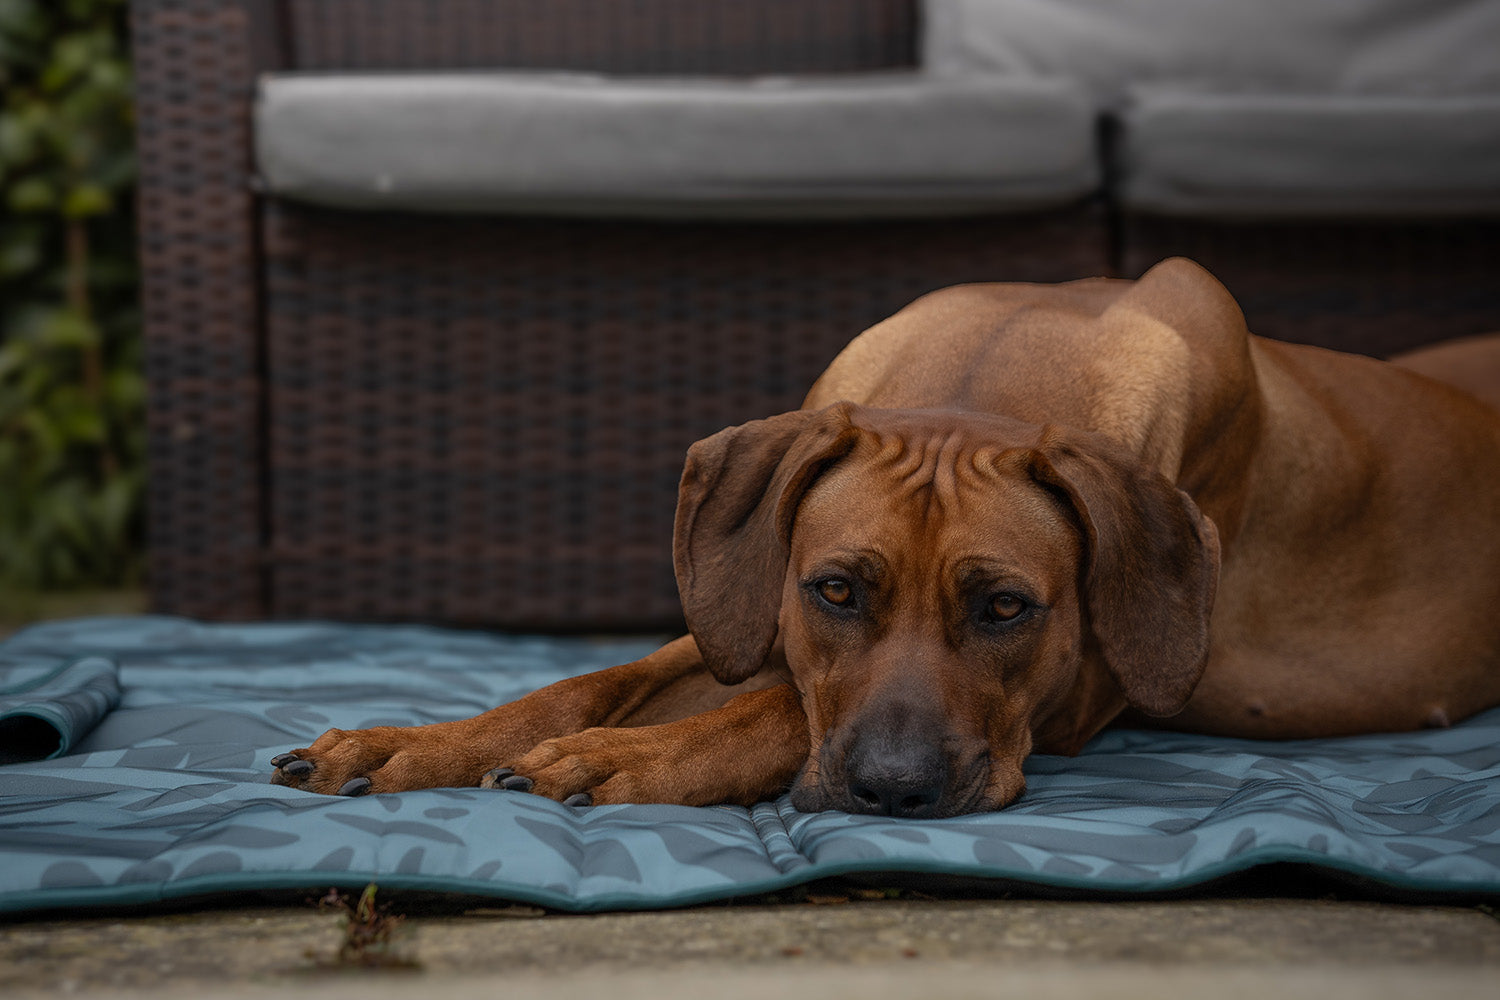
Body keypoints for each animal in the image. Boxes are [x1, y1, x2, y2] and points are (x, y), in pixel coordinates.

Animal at [270, 260, 1500, 821]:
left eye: (1006, 609)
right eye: (836, 592)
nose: (895, 790)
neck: (988, 374)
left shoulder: (1087, 688)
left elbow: (769, 710)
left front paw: (622, 759)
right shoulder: (746, 602)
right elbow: (591, 681)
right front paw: (419, 741)